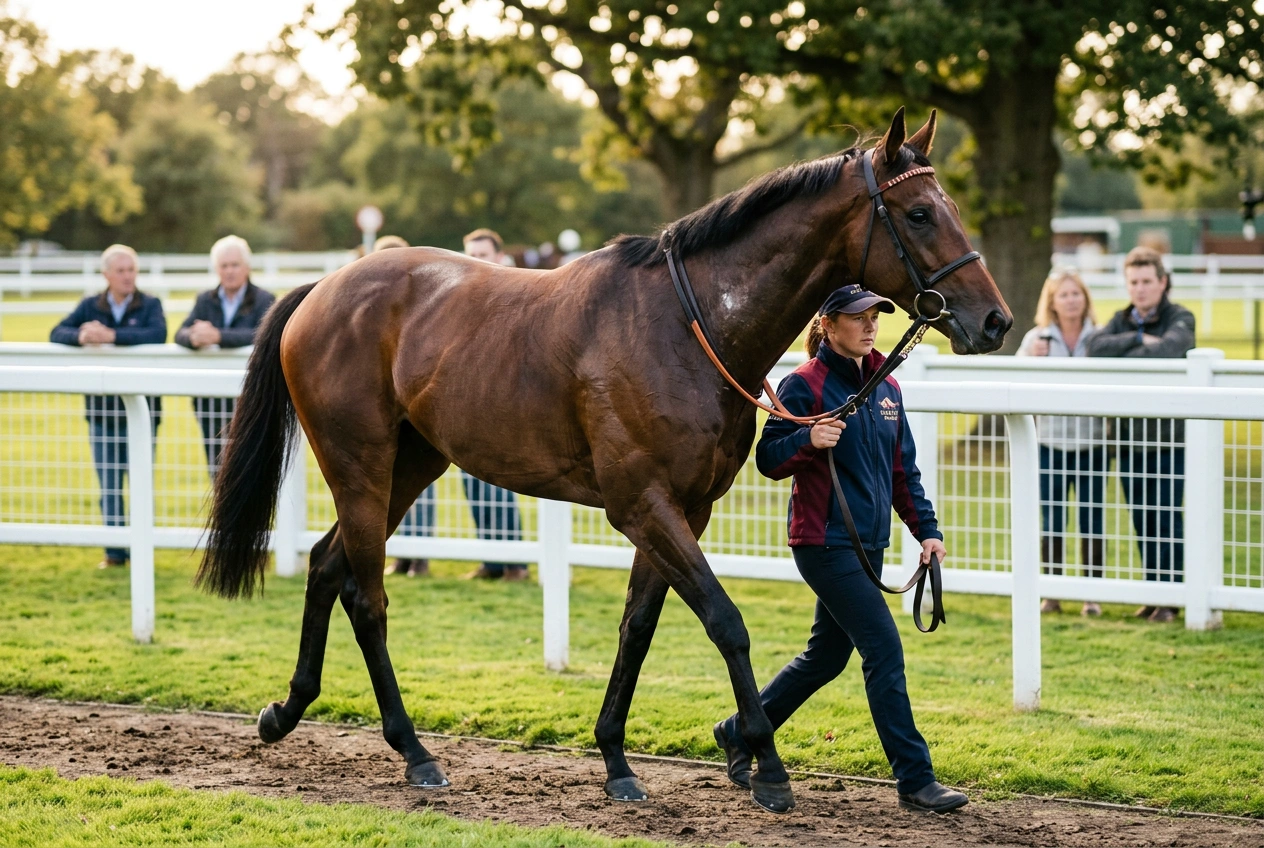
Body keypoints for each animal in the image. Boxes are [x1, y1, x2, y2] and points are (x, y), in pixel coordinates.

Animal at [197, 107, 1012, 814]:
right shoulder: (642, 504)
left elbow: (637, 630)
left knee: (327, 564)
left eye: (950, 208)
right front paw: (770, 769)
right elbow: (726, 622)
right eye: (919, 214)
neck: (688, 325)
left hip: (413, 465)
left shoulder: (684, 509)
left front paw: (617, 759)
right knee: (366, 596)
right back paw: (414, 751)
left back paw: (286, 711)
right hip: (360, 464)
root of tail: (322, 289)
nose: (995, 320)